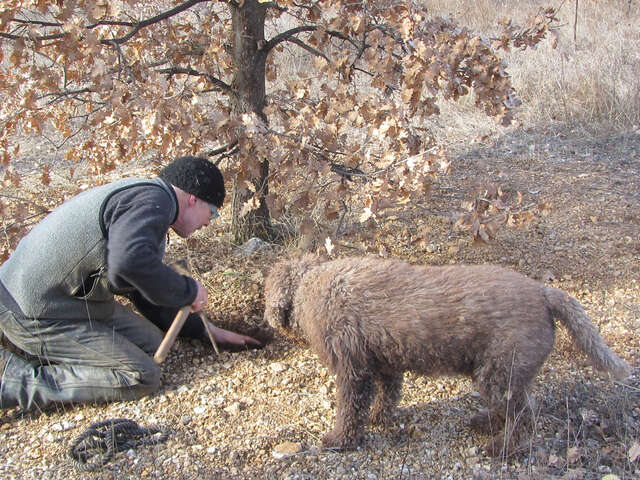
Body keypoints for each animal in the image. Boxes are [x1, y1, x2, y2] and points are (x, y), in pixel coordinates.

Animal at [264, 253, 632, 456]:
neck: (312, 284)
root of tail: (545, 293)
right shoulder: (384, 365)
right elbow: (388, 396)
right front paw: (380, 418)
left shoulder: (353, 371)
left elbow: (350, 412)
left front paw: (341, 439)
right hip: (505, 375)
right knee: (519, 407)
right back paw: (486, 422)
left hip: (499, 374)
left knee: (524, 417)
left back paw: (502, 448)